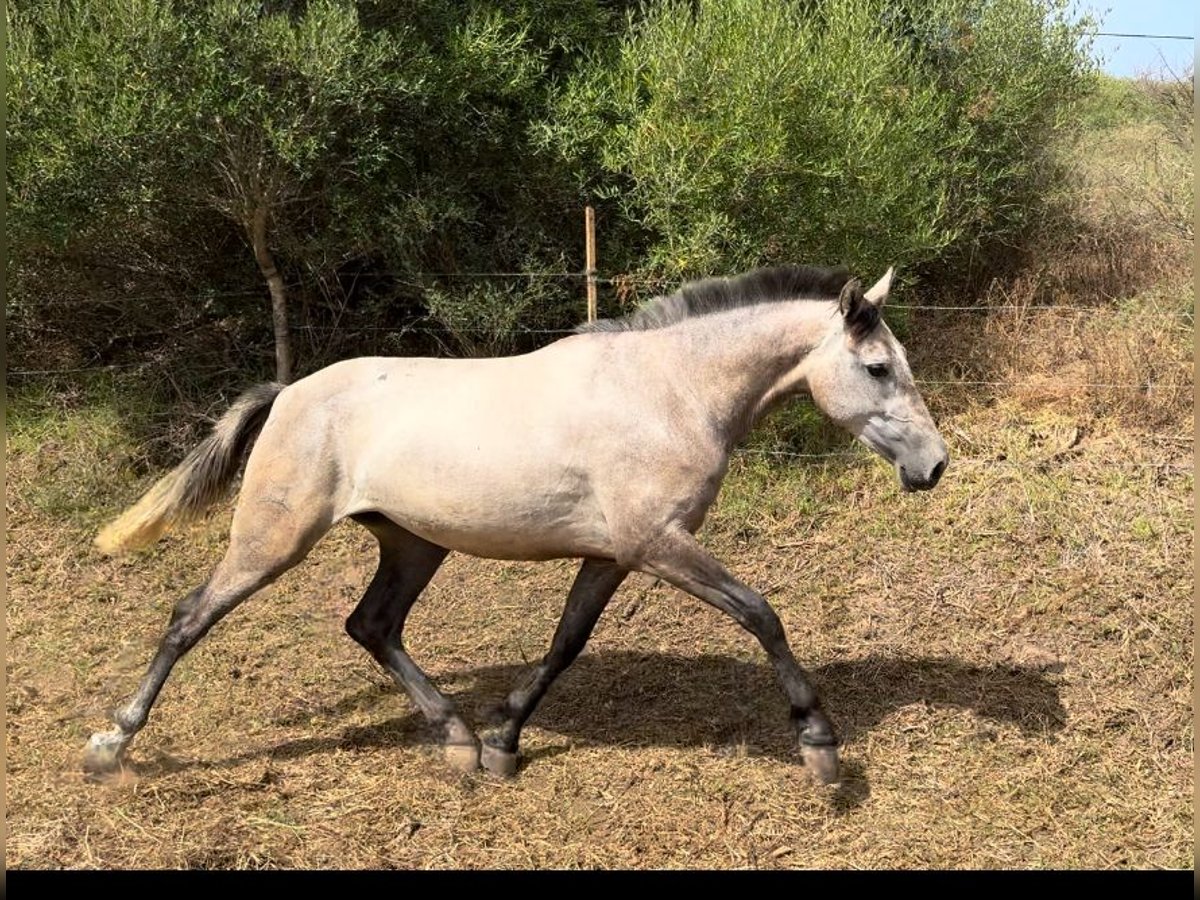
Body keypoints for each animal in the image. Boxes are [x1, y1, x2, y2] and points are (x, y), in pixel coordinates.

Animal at [82, 264, 945, 787]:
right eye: (877, 368)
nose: (933, 465)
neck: (666, 391)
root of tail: (289, 392)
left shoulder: (614, 555)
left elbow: (565, 643)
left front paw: (503, 742)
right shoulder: (657, 543)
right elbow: (761, 614)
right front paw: (820, 745)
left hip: (412, 544)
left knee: (372, 625)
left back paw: (458, 739)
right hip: (273, 540)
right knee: (189, 618)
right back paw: (111, 746)